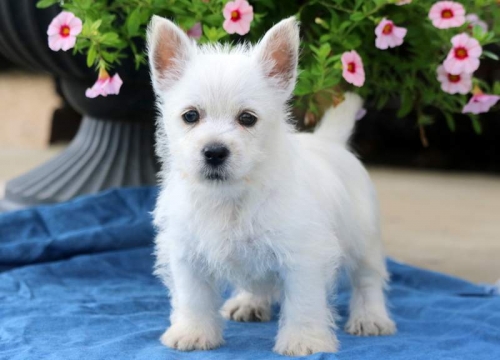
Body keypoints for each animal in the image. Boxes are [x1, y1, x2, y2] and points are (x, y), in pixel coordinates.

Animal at [146, 15, 396, 356]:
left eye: (247, 118)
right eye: (190, 116)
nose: (214, 152)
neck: (231, 198)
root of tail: (330, 141)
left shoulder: (303, 256)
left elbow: (304, 303)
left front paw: (304, 341)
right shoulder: (187, 254)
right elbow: (193, 298)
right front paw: (193, 333)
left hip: (364, 238)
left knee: (368, 279)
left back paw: (371, 318)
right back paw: (248, 303)